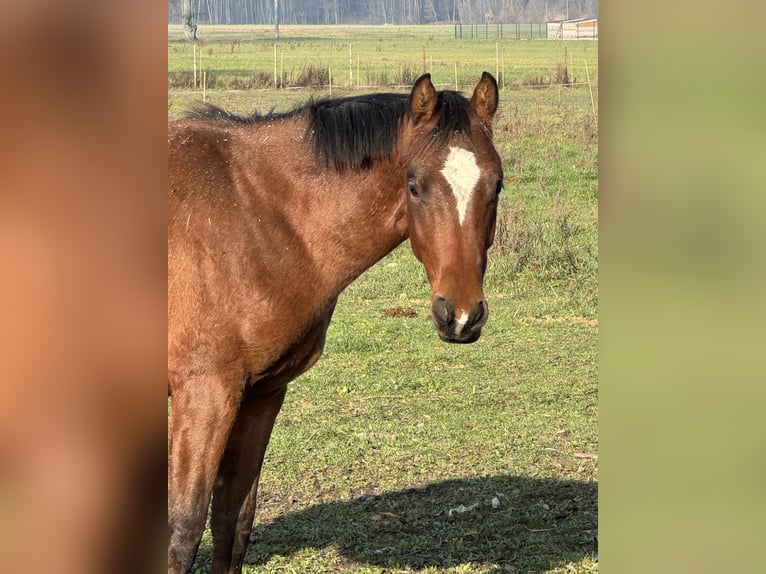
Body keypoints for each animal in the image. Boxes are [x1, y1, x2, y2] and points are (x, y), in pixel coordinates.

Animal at [168, 72, 503, 573]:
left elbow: (233, 519)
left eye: (497, 185)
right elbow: (184, 529)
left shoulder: (262, 393)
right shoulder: (204, 393)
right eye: (415, 185)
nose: (461, 315)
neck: (253, 211)